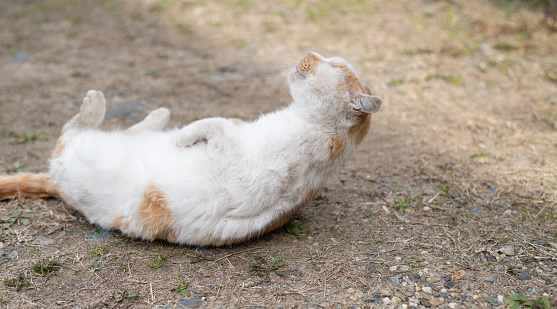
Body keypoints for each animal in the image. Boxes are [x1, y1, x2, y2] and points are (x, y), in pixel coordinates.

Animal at [0, 53, 380, 245]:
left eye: (332, 65)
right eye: (326, 56)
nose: (308, 52)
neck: (304, 121)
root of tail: (55, 182)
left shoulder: (240, 174)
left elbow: (215, 124)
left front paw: (183, 138)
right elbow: (224, 122)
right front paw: (181, 130)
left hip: (77, 155)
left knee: (69, 132)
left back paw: (98, 105)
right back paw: (159, 115)